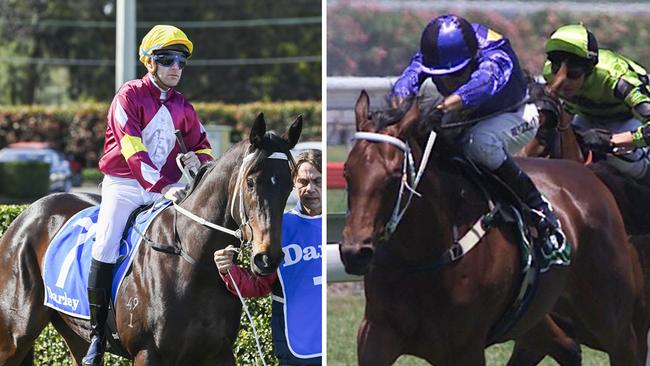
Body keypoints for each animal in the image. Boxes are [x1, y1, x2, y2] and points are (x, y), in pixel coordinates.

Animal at [0, 113, 302, 364]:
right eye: (251, 182)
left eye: (289, 184)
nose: (267, 258)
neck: (193, 262)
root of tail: (25, 214)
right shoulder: (148, 352)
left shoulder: (219, 352)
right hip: (14, 337)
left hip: (75, 334)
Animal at [340, 90, 644, 364]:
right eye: (347, 172)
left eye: (394, 176)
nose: (355, 252)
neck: (423, 257)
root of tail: (589, 175)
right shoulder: (377, 335)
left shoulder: (464, 347)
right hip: (538, 316)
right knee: (567, 347)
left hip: (609, 315)